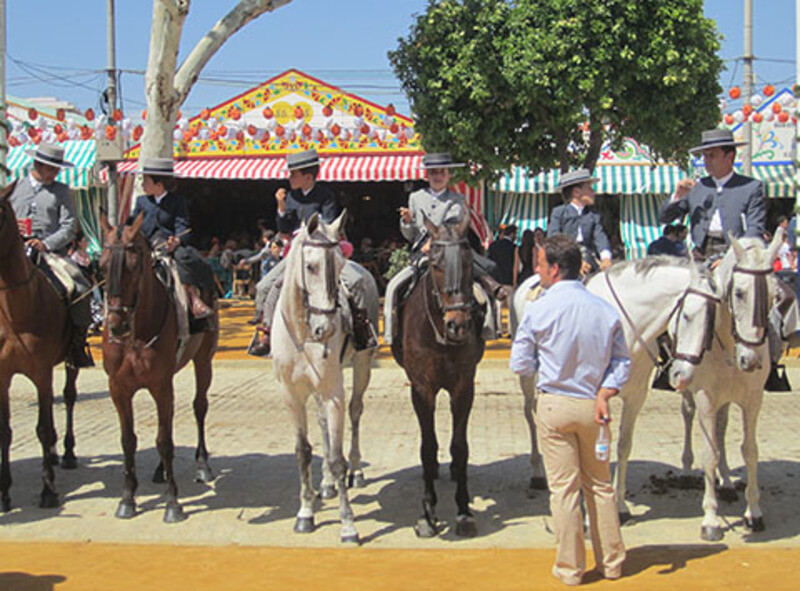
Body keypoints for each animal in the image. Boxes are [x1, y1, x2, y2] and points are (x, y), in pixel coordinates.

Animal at [98, 213, 218, 522]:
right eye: (102, 265)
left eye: (134, 264)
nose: (117, 326)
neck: (137, 333)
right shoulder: (118, 388)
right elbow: (128, 440)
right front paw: (127, 498)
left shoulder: (161, 385)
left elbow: (165, 441)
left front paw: (173, 503)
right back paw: (160, 471)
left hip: (204, 360)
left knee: (199, 407)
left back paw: (203, 465)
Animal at [271, 211, 369, 544]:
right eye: (310, 266)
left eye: (340, 264)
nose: (324, 330)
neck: (303, 333)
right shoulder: (291, 394)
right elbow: (303, 452)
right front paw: (305, 513)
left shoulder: (333, 392)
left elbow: (338, 458)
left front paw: (348, 524)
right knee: (323, 424)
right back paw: (324, 484)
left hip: (362, 368)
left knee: (355, 412)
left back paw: (356, 471)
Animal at [391, 214, 485, 538]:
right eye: (435, 263)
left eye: (468, 260)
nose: (458, 324)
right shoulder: (421, 389)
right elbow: (427, 447)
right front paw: (427, 513)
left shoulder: (463, 387)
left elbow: (460, 446)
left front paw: (463, 511)